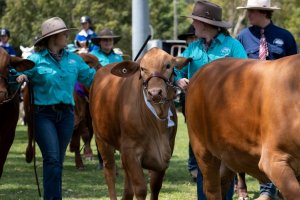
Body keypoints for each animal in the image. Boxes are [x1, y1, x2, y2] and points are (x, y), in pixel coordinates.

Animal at [90, 47, 191, 199]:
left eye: (168, 66)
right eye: (142, 69)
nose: (155, 93)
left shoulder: (166, 152)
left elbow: (155, 186)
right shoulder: (131, 151)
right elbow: (141, 188)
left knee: (127, 183)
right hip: (102, 139)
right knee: (110, 173)